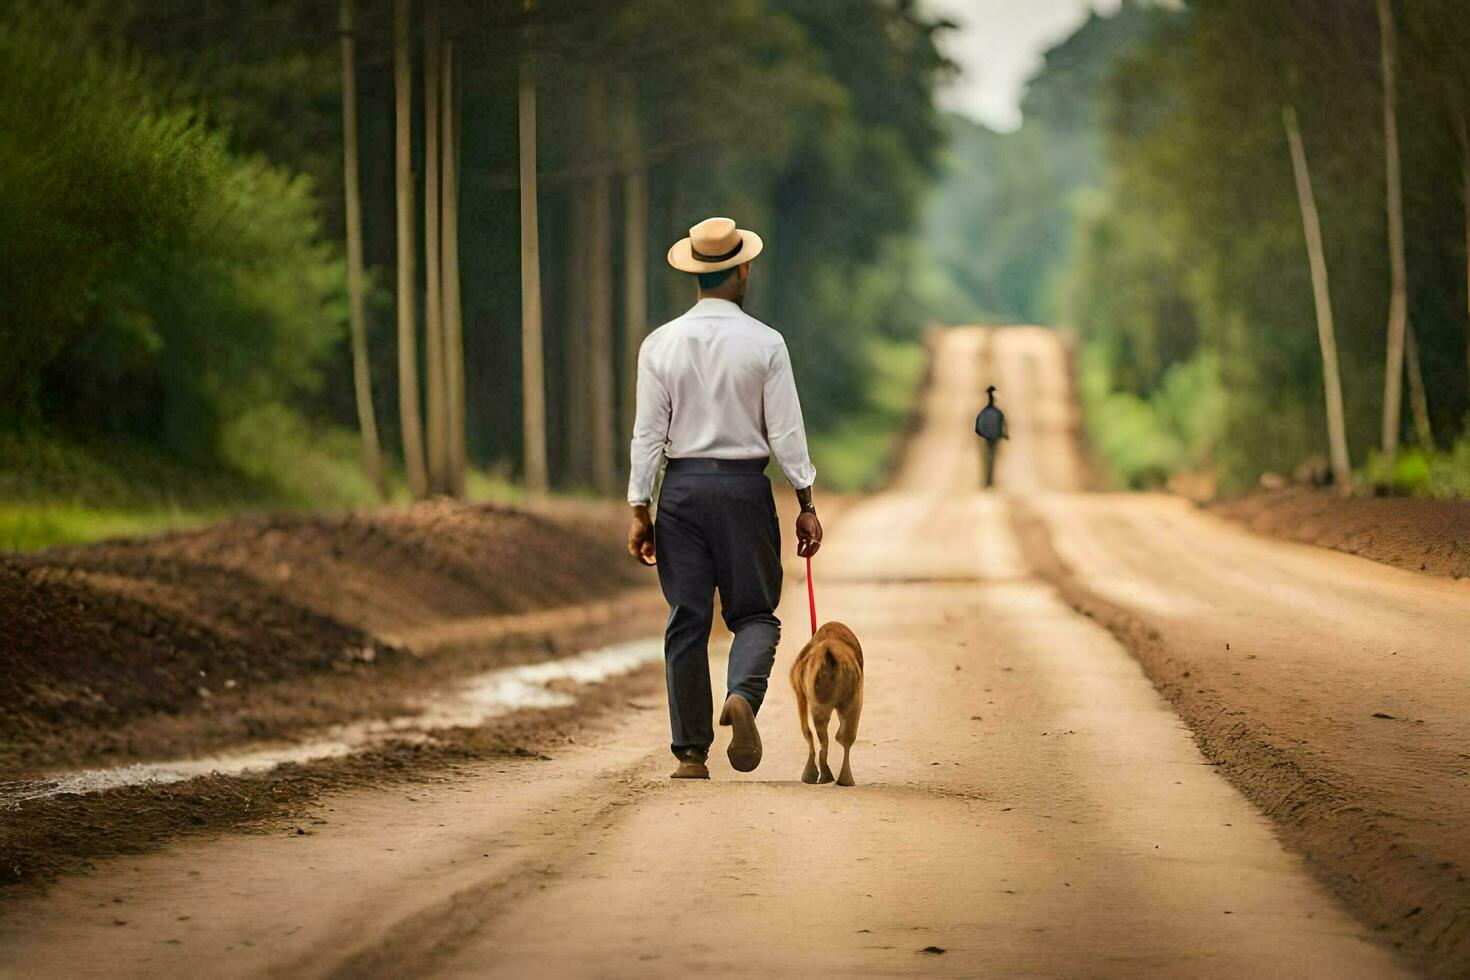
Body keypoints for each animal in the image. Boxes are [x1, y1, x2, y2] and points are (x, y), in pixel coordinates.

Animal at [793, 625, 858, 787]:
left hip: (812, 704)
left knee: (812, 735)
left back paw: (814, 775)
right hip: (852, 702)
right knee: (845, 739)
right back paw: (843, 779)